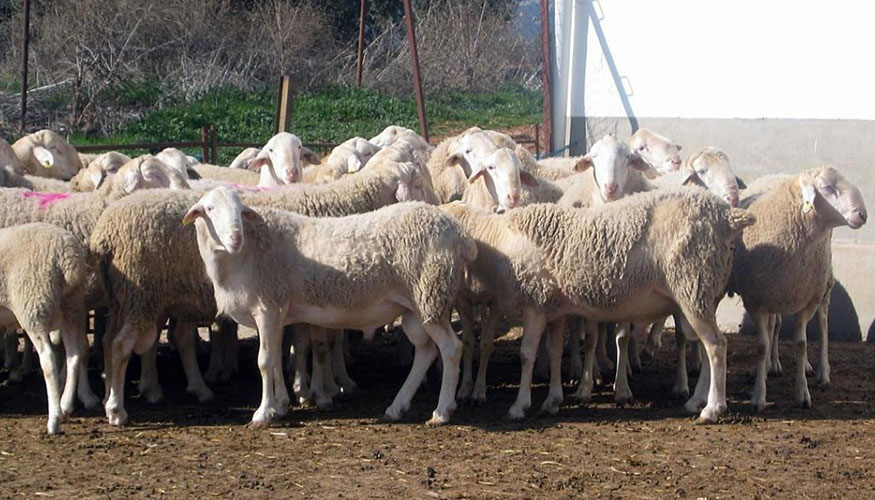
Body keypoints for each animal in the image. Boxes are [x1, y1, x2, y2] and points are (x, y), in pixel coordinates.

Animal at [0, 223, 91, 435]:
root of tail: (68, 259)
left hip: (34, 306)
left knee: (48, 360)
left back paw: (54, 420)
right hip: (72, 308)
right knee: (75, 354)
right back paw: (65, 407)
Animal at [92, 155, 439, 426]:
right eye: (418, 183)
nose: (438, 205)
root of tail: (105, 228)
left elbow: (301, 346)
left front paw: (301, 392)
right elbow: (320, 346)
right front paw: (322, 391)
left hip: (132, 299)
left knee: (116, 341)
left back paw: (140, 391)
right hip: (142, 296)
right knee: (123, 345)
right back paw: (119, 408)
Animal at [729, 166, 867, 411]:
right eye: (828, 188)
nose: (863, 215)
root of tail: (778, 174)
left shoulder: (807, 301)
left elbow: (801, 344)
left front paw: (803, 393)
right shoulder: (755, 300)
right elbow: (762, 346)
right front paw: (759, 395)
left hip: (823, 287)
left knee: (822, 326)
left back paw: (821, 372)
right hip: (777, 293)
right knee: (775, 326)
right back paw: (772, 365)